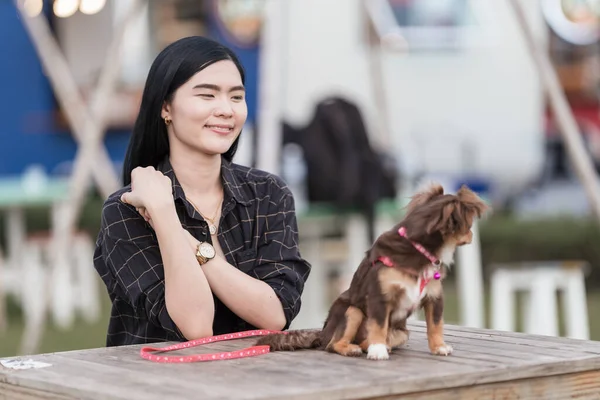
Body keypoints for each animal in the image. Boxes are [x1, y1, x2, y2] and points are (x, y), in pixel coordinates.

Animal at [255, 184, 490, 360]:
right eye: (469, 225)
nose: (472, 235)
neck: (418, 249)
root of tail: (322, 333)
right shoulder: (380, 297)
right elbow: (378, 325)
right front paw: (377, 350)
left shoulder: (434, 298)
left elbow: (436, 325)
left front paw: (439, 347)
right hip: (353, 311)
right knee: (334, 344)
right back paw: (355, 348)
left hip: (402, 332)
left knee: (374, 339)